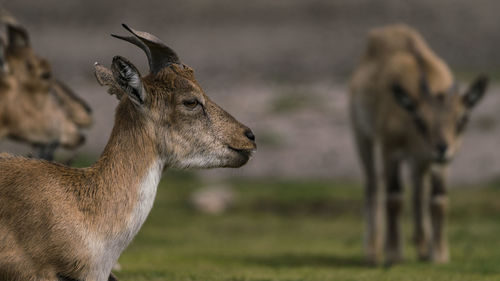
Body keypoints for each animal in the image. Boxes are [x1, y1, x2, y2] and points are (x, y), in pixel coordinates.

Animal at [350, 24, 486, 264]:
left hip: (419, 162)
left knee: (418, 191)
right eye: (420, 120)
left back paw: (423, 247)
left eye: (462, 119)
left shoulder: (438, 163)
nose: (442, 148)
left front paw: (439, 254)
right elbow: (394, 197)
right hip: (362, 136)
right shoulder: (391, 149)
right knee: (373, 184)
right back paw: (373, 250)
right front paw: (394, 253)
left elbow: (438, 200)